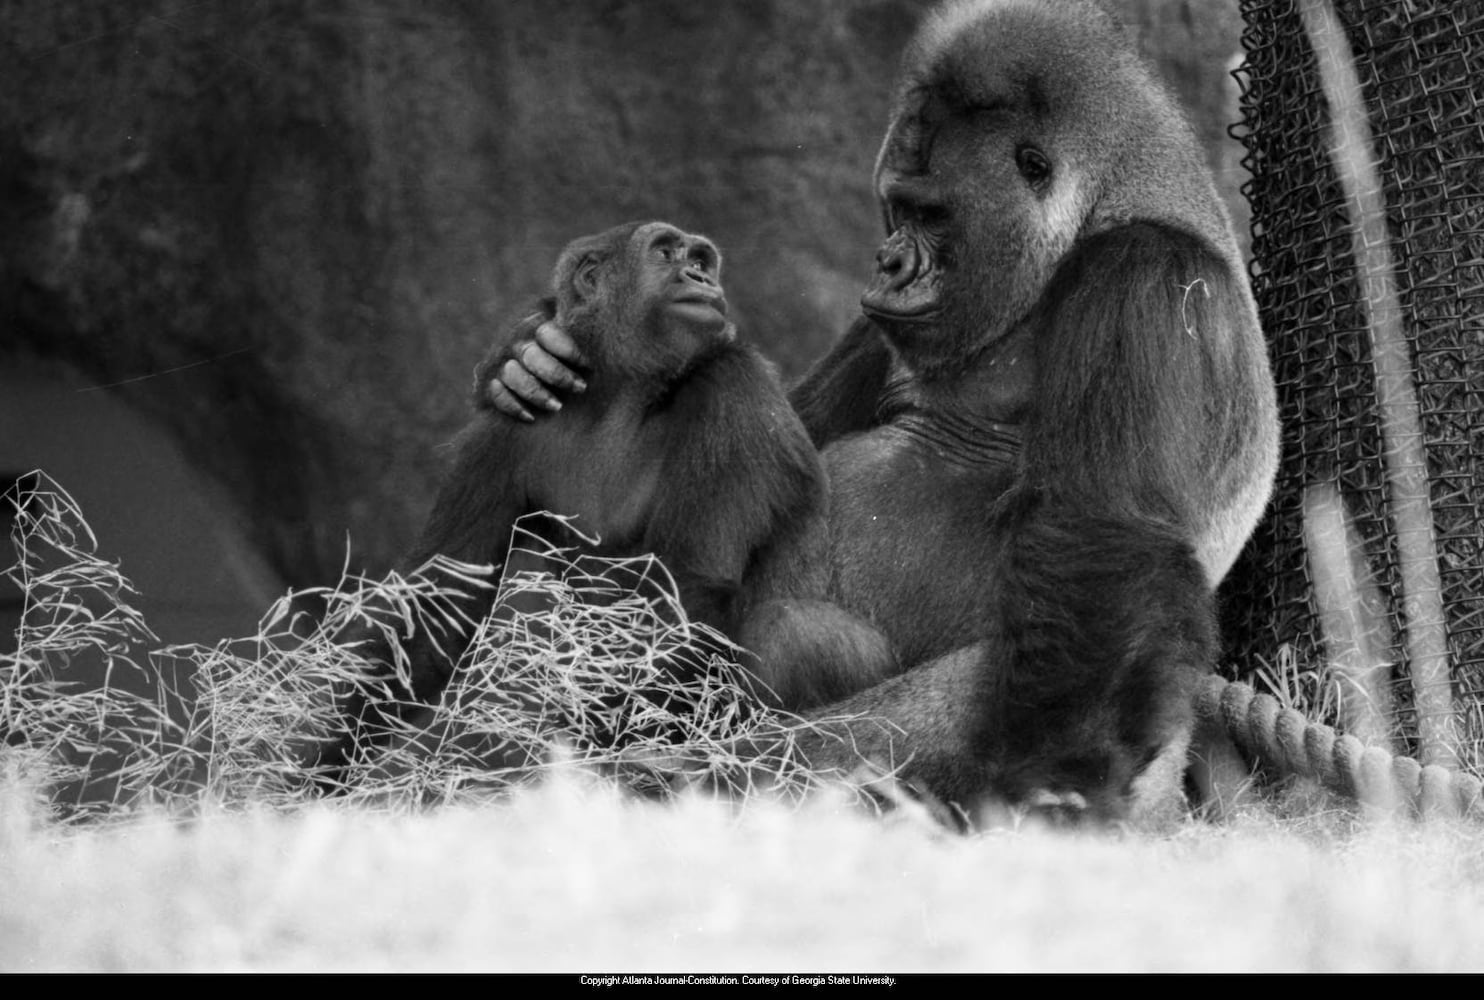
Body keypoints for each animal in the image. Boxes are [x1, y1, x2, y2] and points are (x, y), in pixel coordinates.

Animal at [313, 222, 890, 777]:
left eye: (700, 261)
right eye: (666, 254)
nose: (700, 278)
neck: (622, 394)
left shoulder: (734, 388)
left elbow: (689, 587)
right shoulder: (505, 428)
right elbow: (436, 604)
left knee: (792, 632)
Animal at [486, 0, 1276, 818]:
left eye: (933, 215)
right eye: (896, 209)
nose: (888, 262)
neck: (1105, 210)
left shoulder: (1147, 280)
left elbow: (1104, 539)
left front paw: (1058, 784)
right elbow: (789, 440)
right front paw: (529, 356)